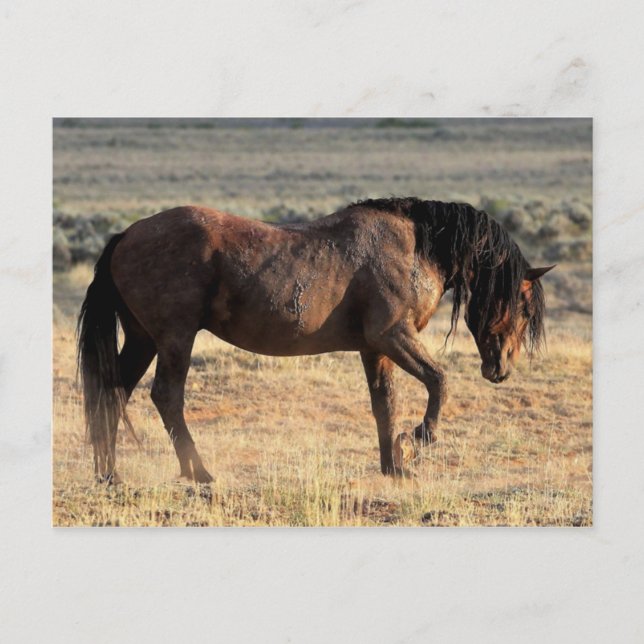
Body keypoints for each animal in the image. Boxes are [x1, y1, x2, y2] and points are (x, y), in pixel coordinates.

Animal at [77, 198, 553, 483]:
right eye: (522, 303)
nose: (500, 369)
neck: (415, 248)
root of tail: (126, 235)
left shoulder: (374, 350)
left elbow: (385, 404)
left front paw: (394, 465)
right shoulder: (393, 336)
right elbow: (439, 382)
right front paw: (419, 440)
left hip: (143, 340)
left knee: (113, 393)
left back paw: (110, 474)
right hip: (175, 338)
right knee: (165, 397)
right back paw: (199, 473)